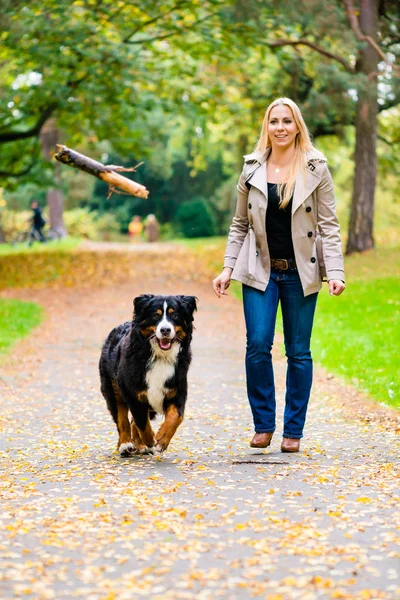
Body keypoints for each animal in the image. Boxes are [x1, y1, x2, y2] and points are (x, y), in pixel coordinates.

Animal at [98, 294, 195, 454]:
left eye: (174, 315)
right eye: (155, 315)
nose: (165, 330)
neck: (160, 356)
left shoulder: (177, 390)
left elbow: (176, 417)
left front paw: (161, 440)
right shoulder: (133, 394)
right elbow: (142, 424)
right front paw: (151, 441)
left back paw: (140, 445)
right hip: (113, 389)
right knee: (122, 418)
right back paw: (125, 444)